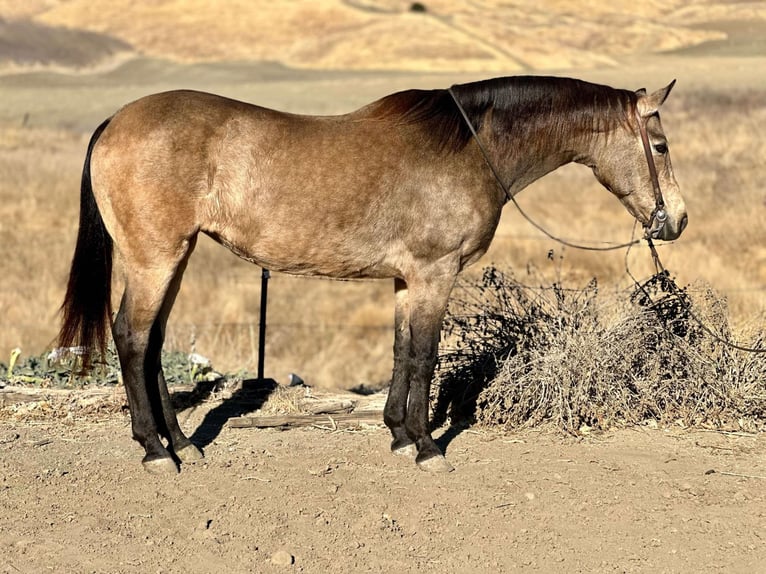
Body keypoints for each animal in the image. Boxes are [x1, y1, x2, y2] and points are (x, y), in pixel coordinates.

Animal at [57, 74, 688, 474]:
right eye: (659, 144)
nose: (677, 219)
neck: (471, 147)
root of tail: (115, 121)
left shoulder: (409, 280)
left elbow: (402, 352)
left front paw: (399, 435)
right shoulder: (435, 274)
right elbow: (426, 356)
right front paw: (428, 447)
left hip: (174, 257)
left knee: (151, 341)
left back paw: (183, 443)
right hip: (156, 259)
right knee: (133, 337)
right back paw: (156, 450)